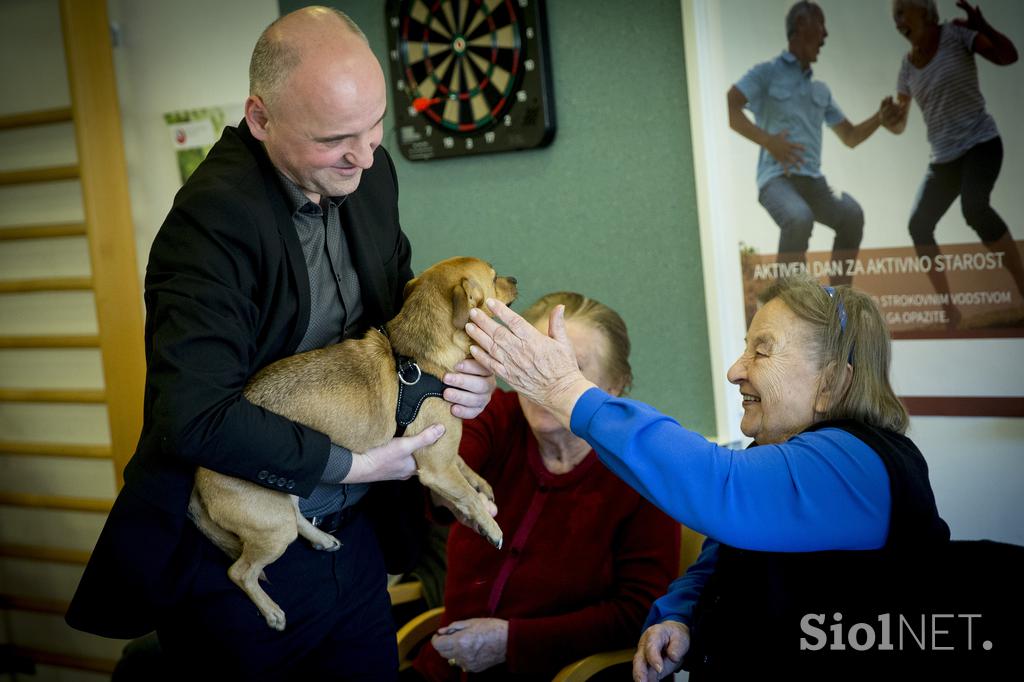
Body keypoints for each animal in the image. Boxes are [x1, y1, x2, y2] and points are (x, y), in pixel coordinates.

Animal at [187, 254, 516, 626]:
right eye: (494, 278)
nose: (515, 280)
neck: (420, 358)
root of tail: (199, 478)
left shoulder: (444, 454)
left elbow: (464, 466)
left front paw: (480, 483)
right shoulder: (436, 468)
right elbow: (467, 497)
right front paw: (490, 526)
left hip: (283, 504)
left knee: (296, 517)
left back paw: (322, 539)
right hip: (272, 529)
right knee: (240, 572)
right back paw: (270, 611)